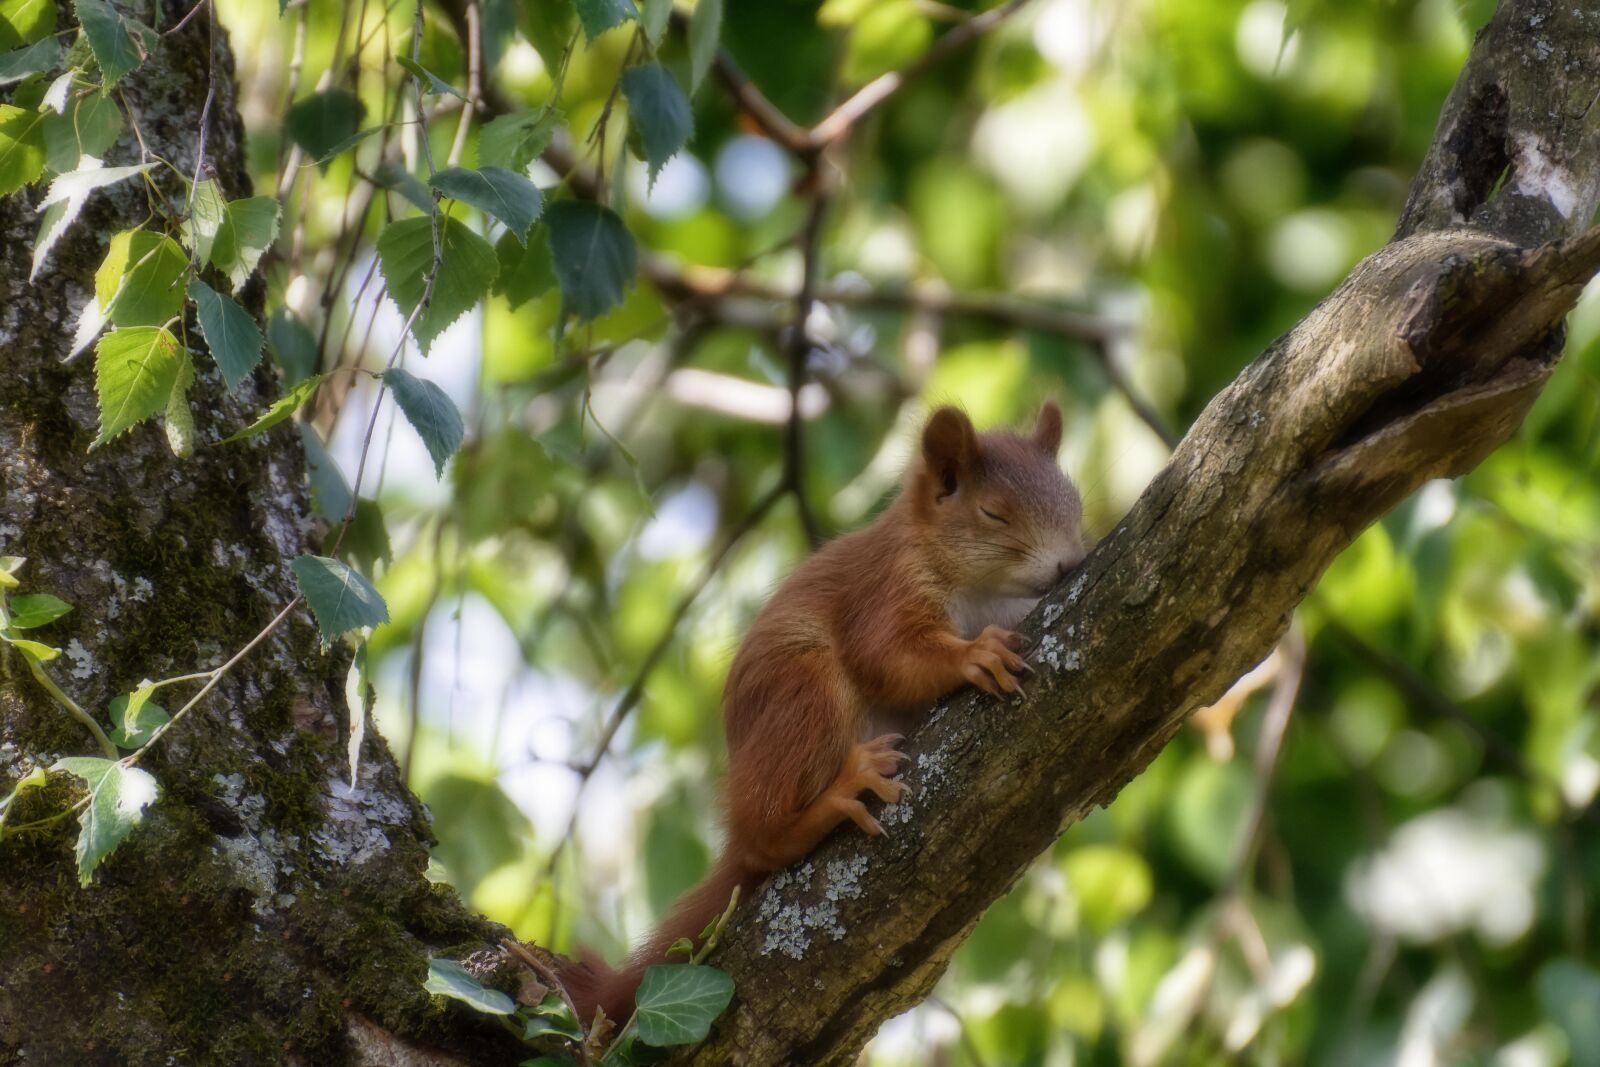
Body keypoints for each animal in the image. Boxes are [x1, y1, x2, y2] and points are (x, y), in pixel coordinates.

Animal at [560, 402, 1087, 1025]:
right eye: (994, 514)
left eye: (1076, 503)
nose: (1069, 563)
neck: (980, 588)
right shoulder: (886, 590)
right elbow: (890, 656)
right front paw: (972, 655)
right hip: (808, 692)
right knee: (764, 838)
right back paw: (834, 796)